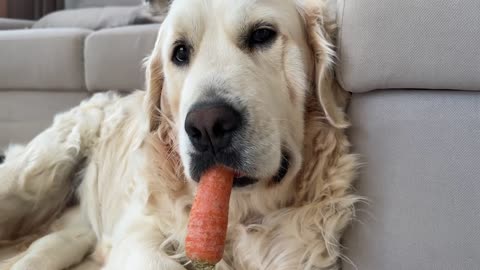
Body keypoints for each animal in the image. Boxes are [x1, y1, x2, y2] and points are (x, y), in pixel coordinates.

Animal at [0, 0, 360, 268]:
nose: (207, 125)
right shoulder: (138, 227)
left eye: (262, 35)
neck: (240, 214)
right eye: (181, 52)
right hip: (35, 174)